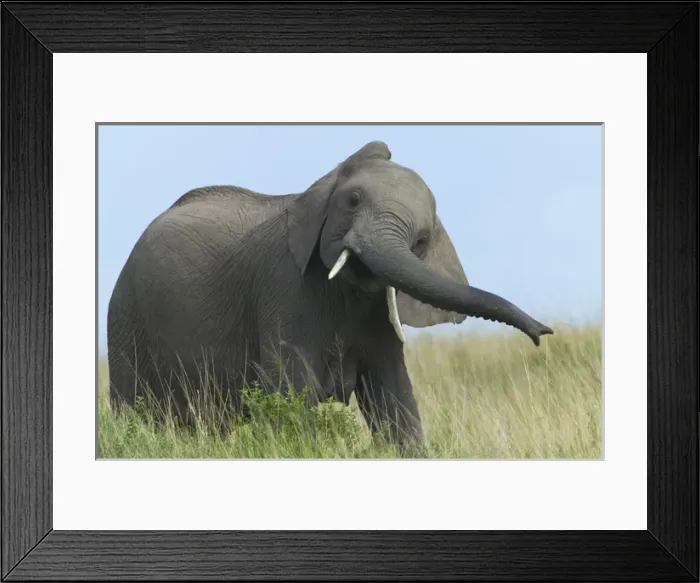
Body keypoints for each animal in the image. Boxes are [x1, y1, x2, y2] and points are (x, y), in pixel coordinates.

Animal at [107, 140, 553, 451]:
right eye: (352, 201)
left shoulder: (375, 312)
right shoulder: (284, 285)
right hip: (125, 314)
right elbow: (292, 392)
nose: (542, 334)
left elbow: (393, 392)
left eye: (422, 241)